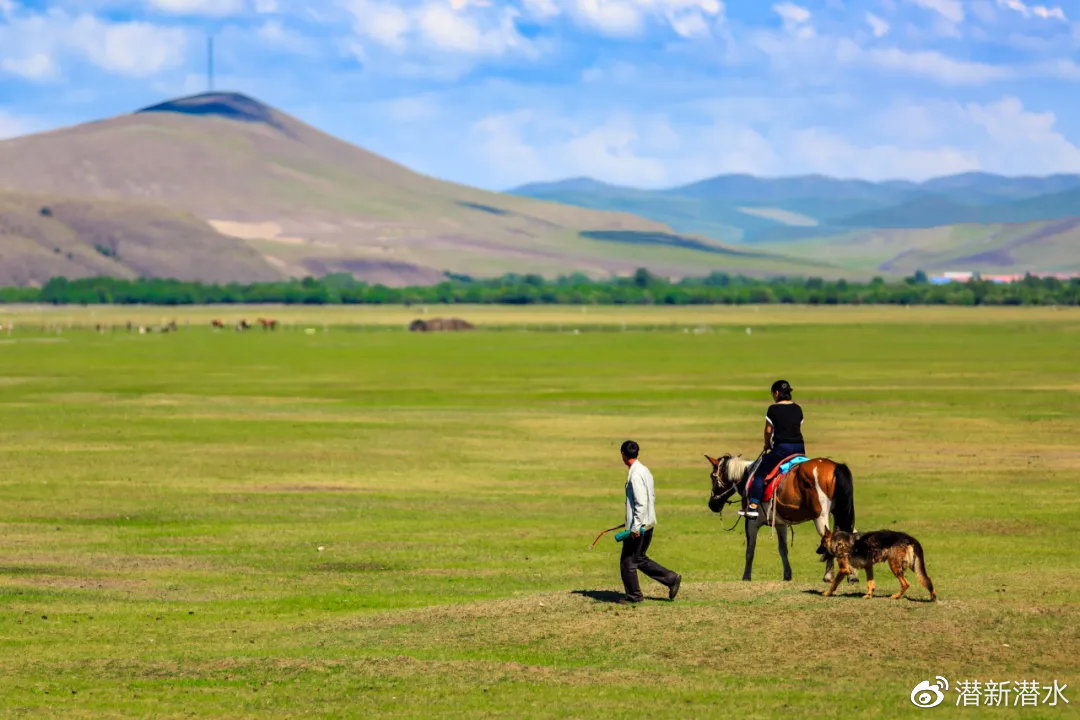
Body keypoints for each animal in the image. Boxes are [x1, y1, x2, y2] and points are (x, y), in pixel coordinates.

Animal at [704, 455, 855, 587]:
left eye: (712, 476)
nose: (712, 505)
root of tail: (836, 466)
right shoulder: (780, 524)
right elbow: (783, 549)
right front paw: (787, 575)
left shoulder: (752, 523)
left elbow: (750, 550)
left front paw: (746, 576)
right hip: (841, 513)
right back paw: (852, 576)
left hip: (821, 517)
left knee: (830, 539)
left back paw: (828, 576)